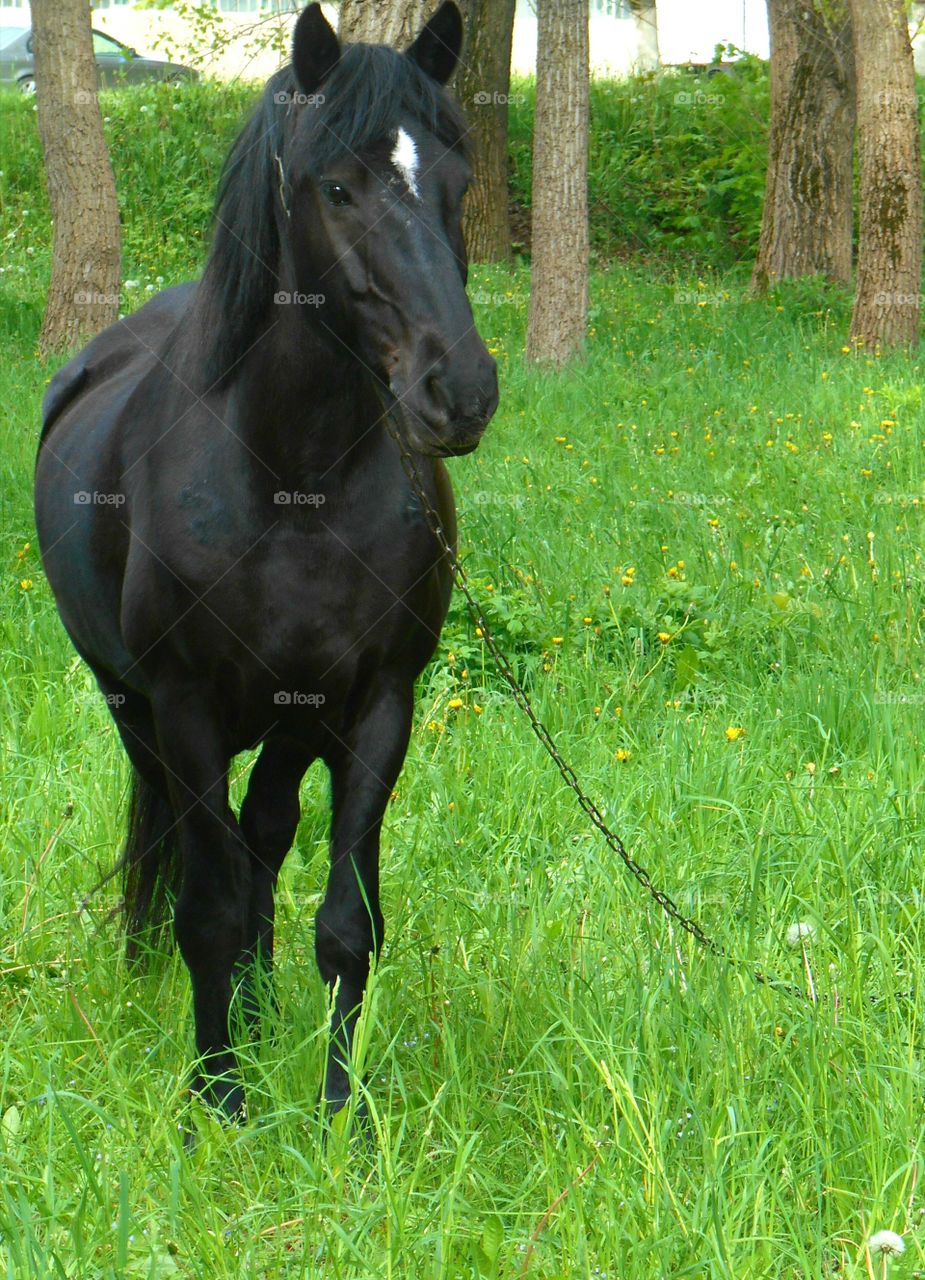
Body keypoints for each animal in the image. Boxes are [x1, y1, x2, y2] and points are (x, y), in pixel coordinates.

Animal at [34, 1, 498, 1121]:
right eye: (336, 188)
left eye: (458, 183)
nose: (458, 389)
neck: (293, 483)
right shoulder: (186, 706)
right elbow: (205, 909)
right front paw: (217, 1103)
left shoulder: (376, 705)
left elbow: (346, 921)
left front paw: (343, 1117)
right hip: (134, 709)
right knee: (200, 846)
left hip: (291, 724)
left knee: (261, 839)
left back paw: (256, 1009)